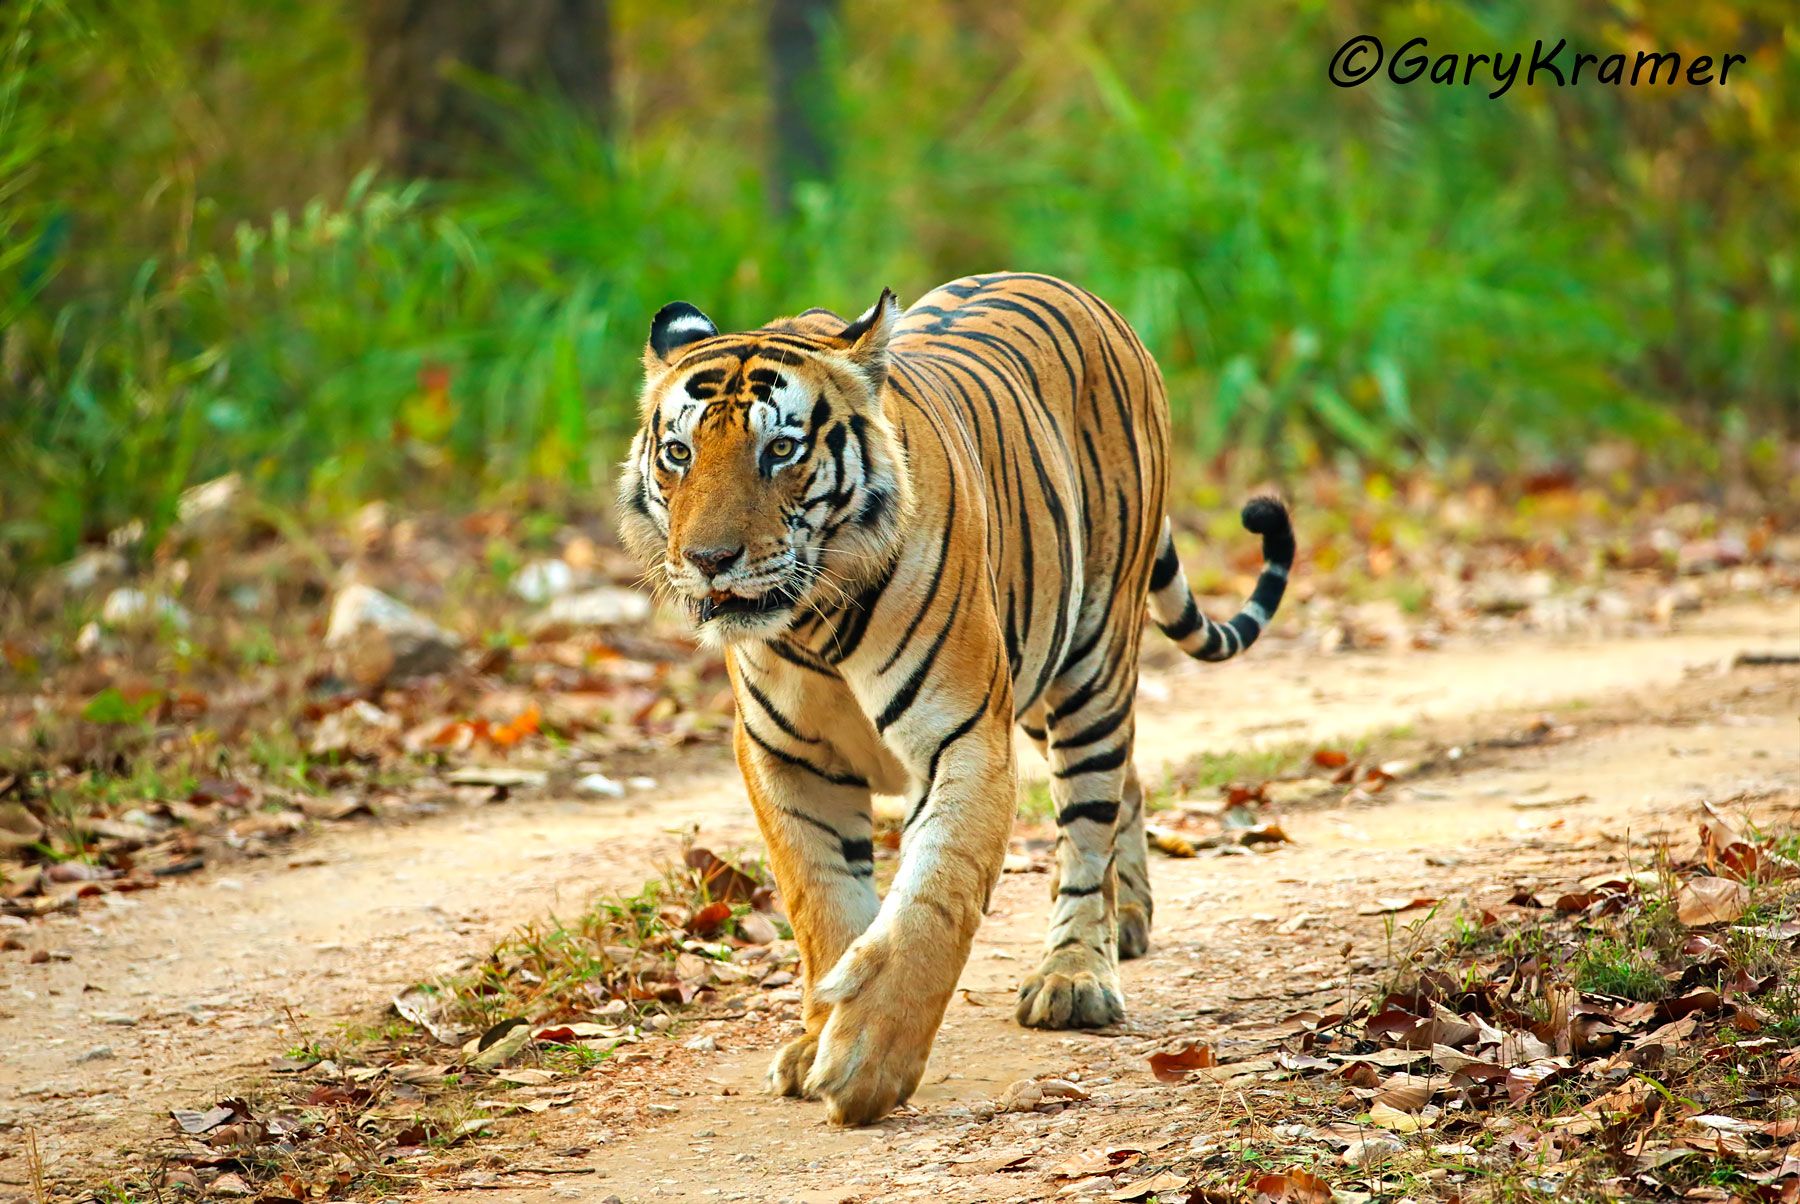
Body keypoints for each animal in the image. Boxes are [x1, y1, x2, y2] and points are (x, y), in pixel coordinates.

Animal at [617, 271, 1294, 1125]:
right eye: (679, 453)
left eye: (781, 450)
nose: (709, 560)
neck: (812, 619)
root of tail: (1077, 291)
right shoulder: (784, 757)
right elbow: (822, 904)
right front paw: (817, 1039)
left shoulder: (965, 735)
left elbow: (932, 901)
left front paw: (868, 1062)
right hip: (1036, 683)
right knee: (1128, 783)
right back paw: (1130, 920)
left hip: (1090, 661)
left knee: (1090, 815)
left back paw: (1077, 975)